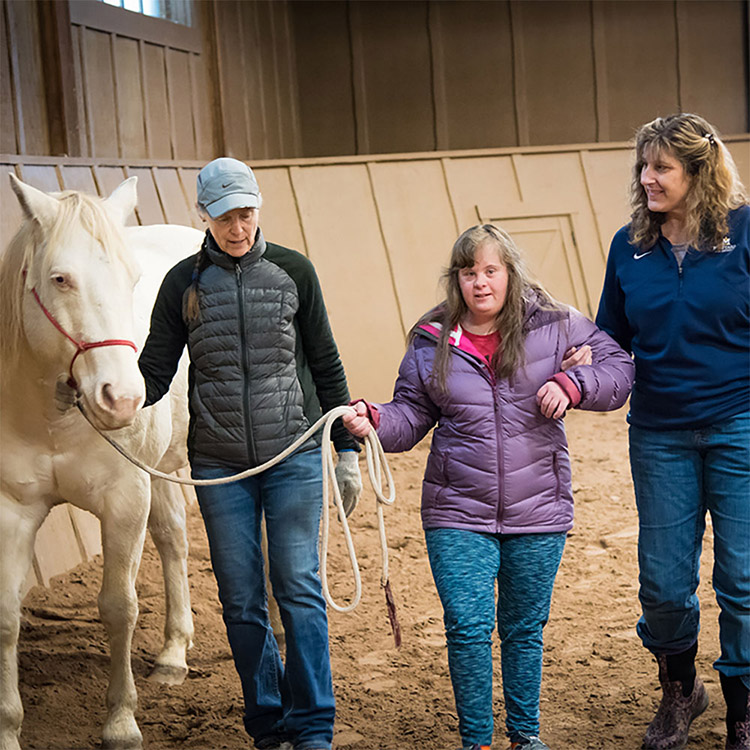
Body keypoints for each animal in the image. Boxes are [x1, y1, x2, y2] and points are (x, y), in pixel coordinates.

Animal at [0, 178, 203, 750]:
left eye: (132, 279)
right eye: (59, 279)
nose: (123, 398)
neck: (52, 419)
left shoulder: (125, 499)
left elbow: (119, 607)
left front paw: (121, 724)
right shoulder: (13, 510)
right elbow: (7, 617)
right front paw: (9, 728)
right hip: (165, 468)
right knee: (174, 538)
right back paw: (173, 654)